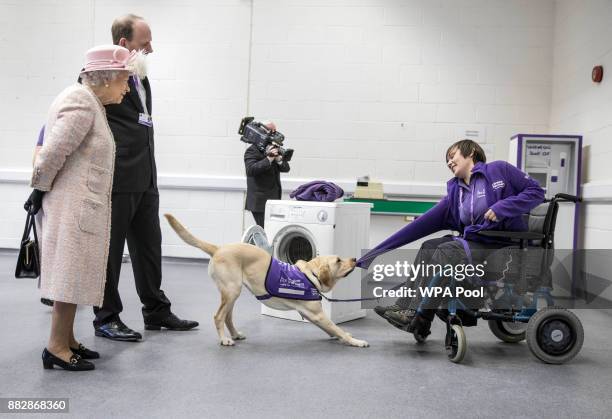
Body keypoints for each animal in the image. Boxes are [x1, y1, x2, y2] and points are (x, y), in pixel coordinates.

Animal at [163, 213, 368, 348]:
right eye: (338, 260)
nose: (354, 259)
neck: (311, 275)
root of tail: (219, 248)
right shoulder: (317, 314)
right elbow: (336, 328)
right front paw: (356, 341)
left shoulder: (314, 316)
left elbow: (333, 329)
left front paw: (343, 336)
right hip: (231, 291)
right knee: (218, 316)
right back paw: (224, 339)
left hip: (232, 293)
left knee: (227, 317)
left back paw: (235, 334)